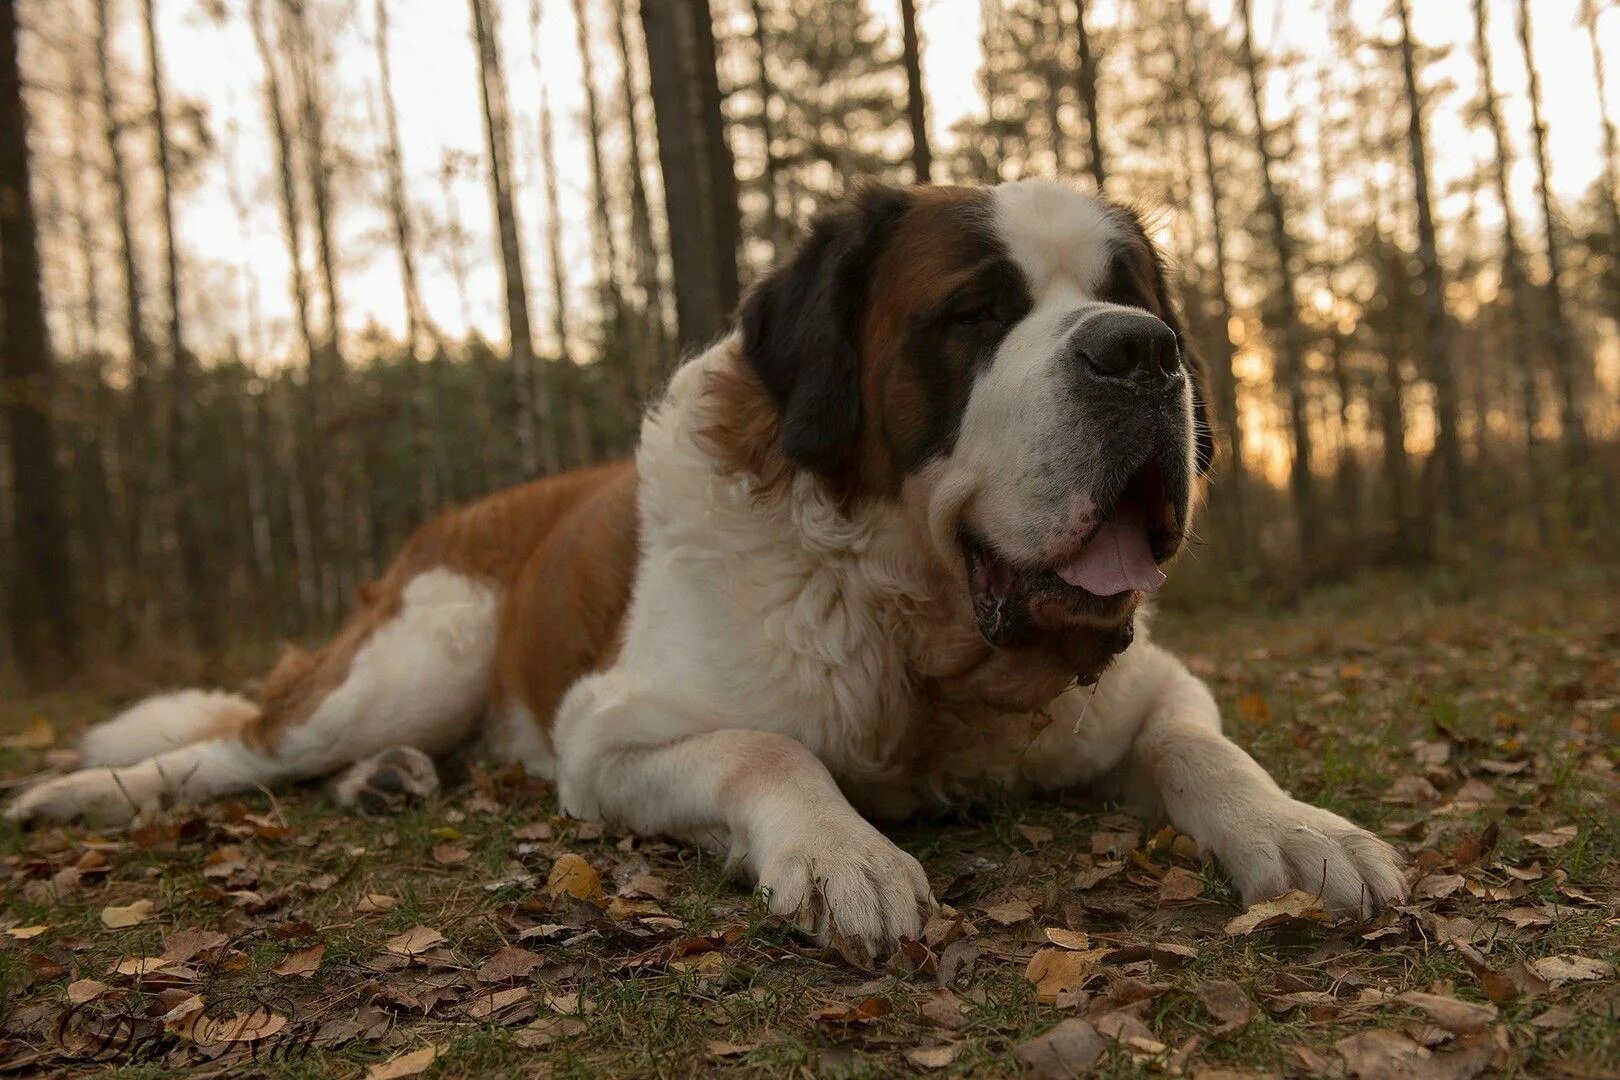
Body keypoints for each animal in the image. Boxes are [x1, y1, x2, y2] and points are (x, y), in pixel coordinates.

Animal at [9, 181, 1406, 958]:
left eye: (1141, 301)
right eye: (975, 315)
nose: (1139, 354)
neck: (923, 641)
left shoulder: (1150, 684)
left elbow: (1202, 747)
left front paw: (1303, 831)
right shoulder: (609, 736)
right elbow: (767, 747)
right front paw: (847, 858)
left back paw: (390, 782)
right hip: (415, 656)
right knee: (235, 748)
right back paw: (85, 795)